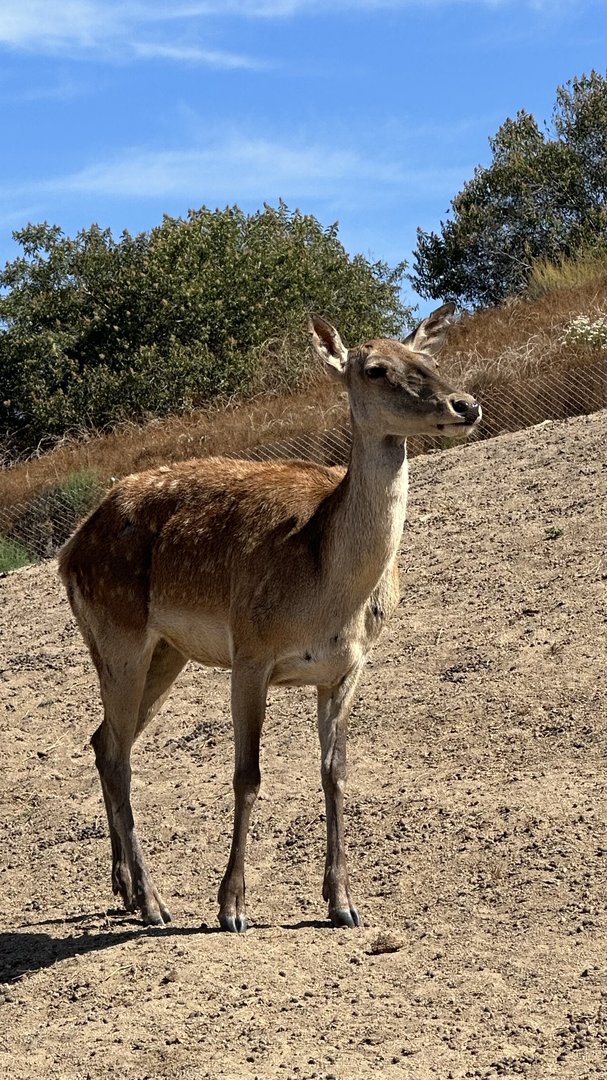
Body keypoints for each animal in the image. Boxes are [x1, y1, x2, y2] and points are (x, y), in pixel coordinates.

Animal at [58, 303, 481, 933]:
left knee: (105, 739)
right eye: (375, 369)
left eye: (426, 357)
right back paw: (154, 903)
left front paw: (343, 903)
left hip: (166, 652)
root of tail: (69, 550)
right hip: (117, 637)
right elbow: (248, 775)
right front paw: (231, 907)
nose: (465, 405)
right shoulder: (250, 654)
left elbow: (335, 772)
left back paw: (127, 890)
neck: (326, 596)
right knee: (116, 751)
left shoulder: (346, 668)